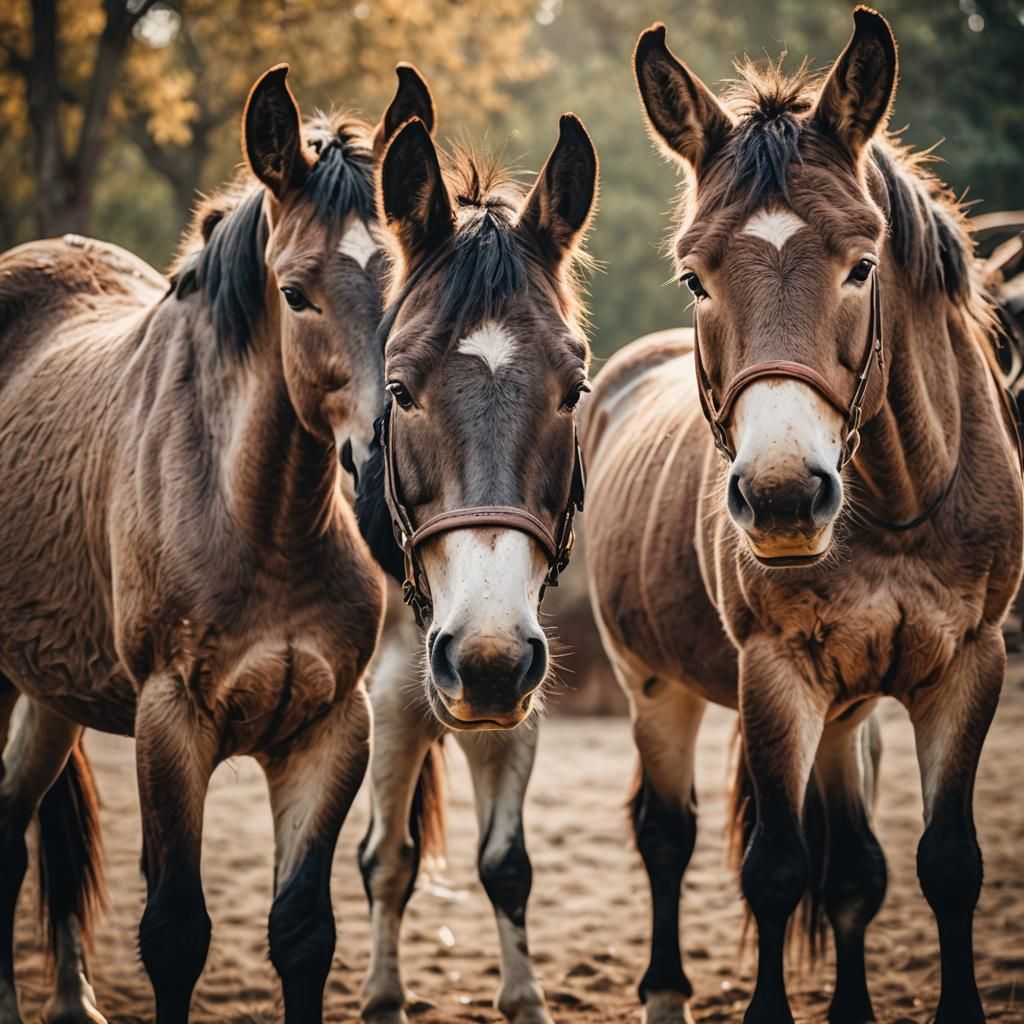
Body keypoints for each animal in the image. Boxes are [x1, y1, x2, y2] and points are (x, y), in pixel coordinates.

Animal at [0, 63, 434, 1024]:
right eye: (297, 293)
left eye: (409, 290)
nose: (387, 486)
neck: (259, 523)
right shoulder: (171, 724)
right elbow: (174, 932)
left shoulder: (330, 729)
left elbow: (303, 932)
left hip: (47, 692)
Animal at [353, 112, 597, 1023]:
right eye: (401, 390)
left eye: (574, 389)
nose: (485, 662)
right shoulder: (394, 692)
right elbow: (388, 858)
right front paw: (383, 994)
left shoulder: (518, 697)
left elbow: (507, 864)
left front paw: (524, 995)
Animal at [583, 9, 1022, 1024]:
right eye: (695, 278)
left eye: (861, 265)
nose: (783, 496)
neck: (897, 506)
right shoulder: (776, 676)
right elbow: (776, 869)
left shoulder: (970, 667)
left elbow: (943, 866)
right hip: (651, 685)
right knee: (666, 835)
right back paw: (664, 990)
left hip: (847, 708)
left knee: (853, 866)